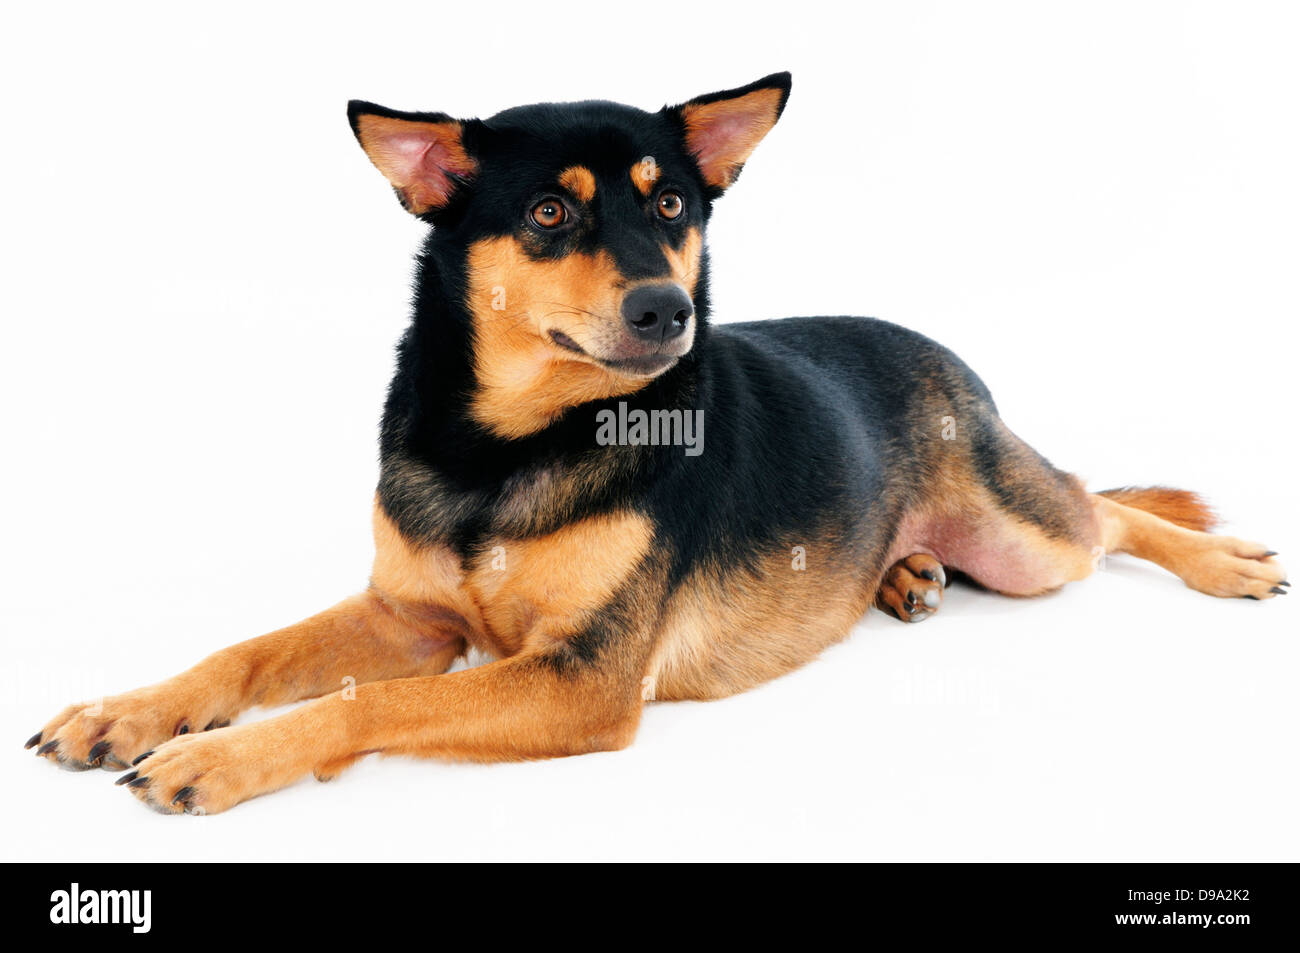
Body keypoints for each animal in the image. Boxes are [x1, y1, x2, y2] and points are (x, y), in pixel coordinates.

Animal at [25, 72, 1284, 811]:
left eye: (671, 206)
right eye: (549, 212)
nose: (665, 310)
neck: (510, 444)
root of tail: (941, 353)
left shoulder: (580, 680)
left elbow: (361, 704)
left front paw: (218, 756)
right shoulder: (407, 615)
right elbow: (246, 651)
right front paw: (129, 709)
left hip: (1024, 540)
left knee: (1101, 505)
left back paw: (1218, 558)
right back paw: (902, 573)